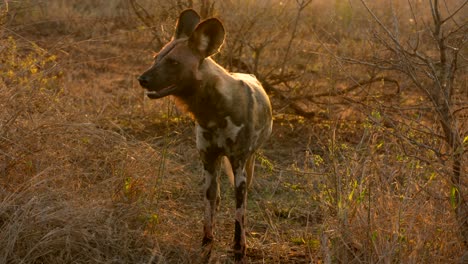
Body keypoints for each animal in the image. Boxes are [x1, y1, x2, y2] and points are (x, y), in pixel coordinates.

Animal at [137, 8, 272, 262]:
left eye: (173, 62)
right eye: (156, 58)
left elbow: (239, 215)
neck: (213, 113)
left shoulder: (238, 167)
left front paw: (239, 249)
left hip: (248, 166)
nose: (142, 79)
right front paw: (206, 246)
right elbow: (208, 214)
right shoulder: (208, 163)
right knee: (216, 198)